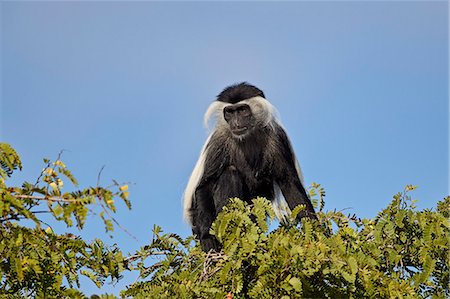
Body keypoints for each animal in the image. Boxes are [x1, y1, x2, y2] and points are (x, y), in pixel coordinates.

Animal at [183, 83, 316, 252]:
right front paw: (208, 238)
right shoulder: (218, 141)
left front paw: (317, 232)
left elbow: (289, 184)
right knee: (230, 173)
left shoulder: (277, 137)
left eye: (242, 110)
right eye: (230, 112)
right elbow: (204, 185)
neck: (246, 137)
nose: (235, 123)